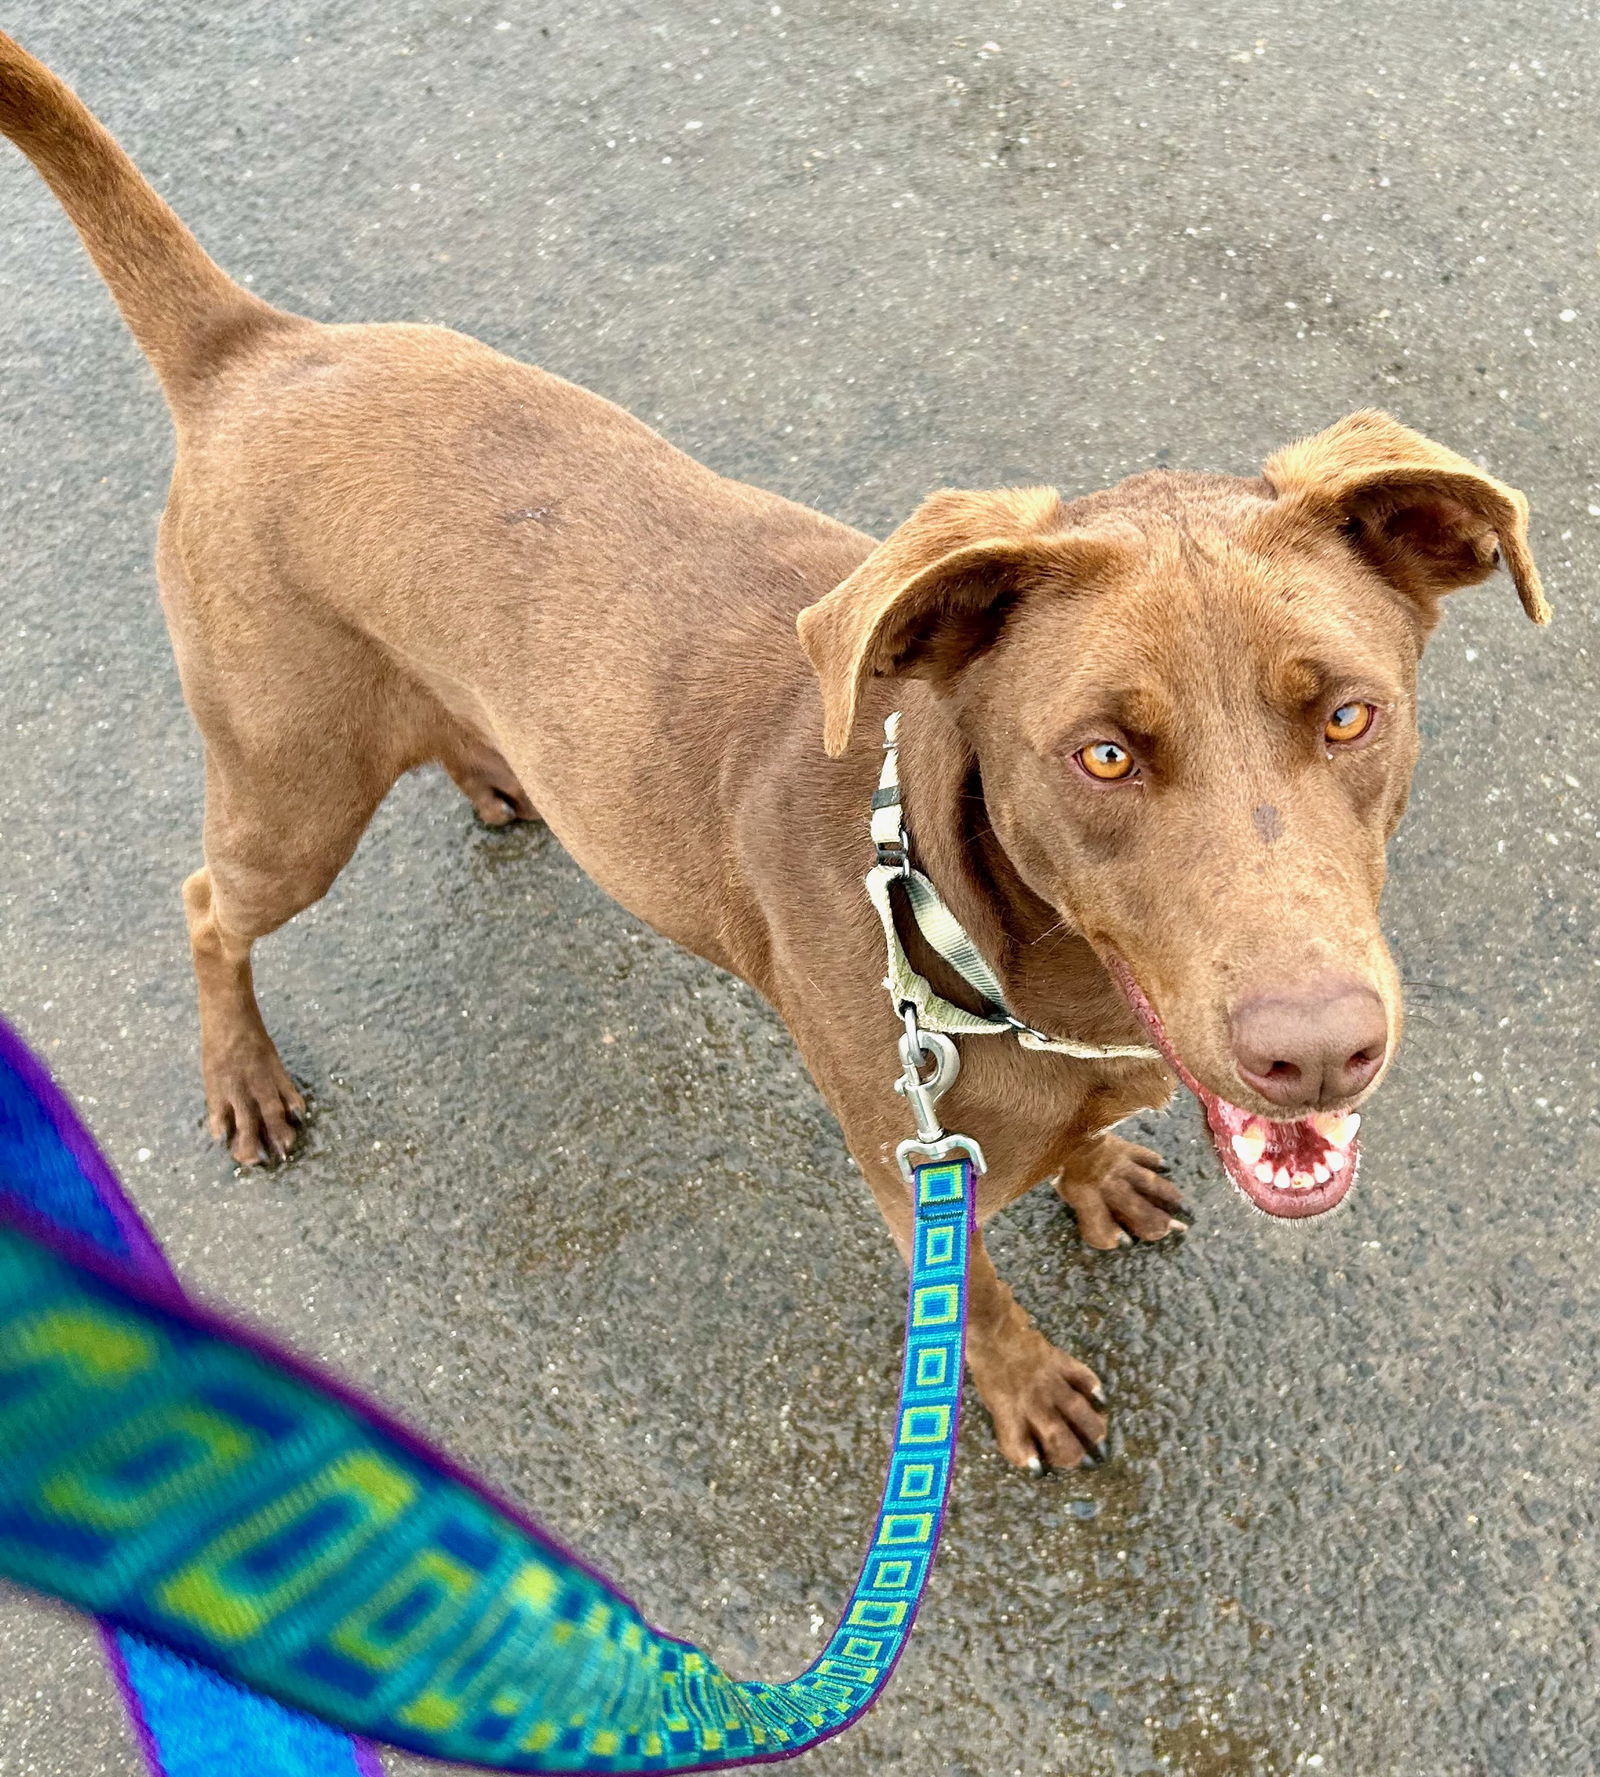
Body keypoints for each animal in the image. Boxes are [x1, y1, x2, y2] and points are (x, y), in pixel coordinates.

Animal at [3, 38, 1550, 1471]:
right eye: (1103, 755)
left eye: (1347, 714)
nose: (1320, 1055)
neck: (985, 953)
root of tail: (257, 347)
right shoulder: (906, 1163)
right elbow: (975, 1298)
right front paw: (1023, 1384)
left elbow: (1081, 1149)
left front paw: (1098, 1171)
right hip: (291, 783)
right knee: (208, 906)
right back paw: (244, 1077)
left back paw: (492, 774)